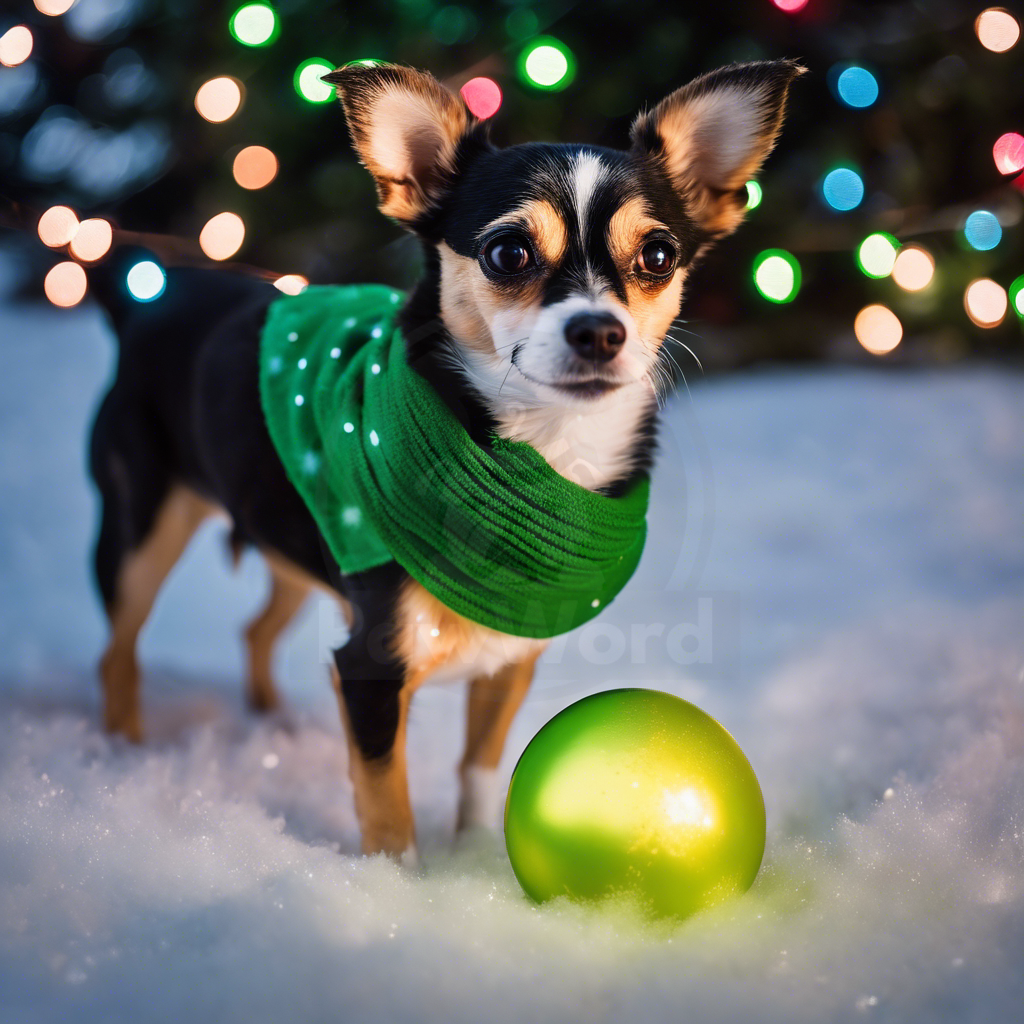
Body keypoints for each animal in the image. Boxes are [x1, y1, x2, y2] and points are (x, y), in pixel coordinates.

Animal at [88, 54, 802, 856]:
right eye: (508, 252)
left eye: (658, 255)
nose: (599, 330)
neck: (538, 455)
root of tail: (147, 300)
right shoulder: (369, 668)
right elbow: (387, 808)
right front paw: (398, 882)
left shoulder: (510, 658)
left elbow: (480, 770)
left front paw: (478, 859)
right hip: (140, 536)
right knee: (117, 652)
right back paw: (124, 758)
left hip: (290, 535)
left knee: (254, 629)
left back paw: (273, 727)